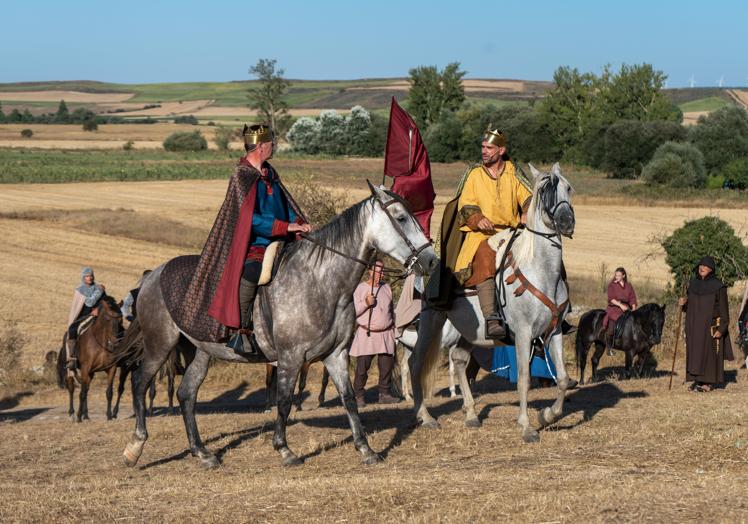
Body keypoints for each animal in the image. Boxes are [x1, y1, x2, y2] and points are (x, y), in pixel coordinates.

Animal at [57, 294, 124, 422]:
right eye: (107, 319)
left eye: (120, 319)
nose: (115, 342)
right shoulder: (85, 368)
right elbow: (82, 393)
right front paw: (78, 416)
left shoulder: (111, 369)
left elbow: (109, 393)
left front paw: (109, 415)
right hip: (71, 370)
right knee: (72, 388)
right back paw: (72, 413)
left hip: (90, 373)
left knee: (86, 388)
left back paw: (86, 414)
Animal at [114, 183, 436, 466]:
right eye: (401, 218)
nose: (431, 261)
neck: (320, 281)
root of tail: (153, 275)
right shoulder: (290, 357)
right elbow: (283, 400)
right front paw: (285, 450)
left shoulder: (336, 355)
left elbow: (348, 399)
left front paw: (366, 450)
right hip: (160, 344)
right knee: (140, 382)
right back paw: (134, 447)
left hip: (200, 351)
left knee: (186, 394)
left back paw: (203, 453)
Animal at [410, 164, 580, 442]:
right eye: (544, 192)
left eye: (568, 188)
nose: (566, 222)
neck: (542, 271)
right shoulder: (523, 334)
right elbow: (524, 379)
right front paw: (527, 426)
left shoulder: (553, 331)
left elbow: (564, 379)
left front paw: (548, 416)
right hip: (432, 320)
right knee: (416, 363)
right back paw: (424, 416)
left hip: (471, 330)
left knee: (459, 358)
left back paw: (471, 414)